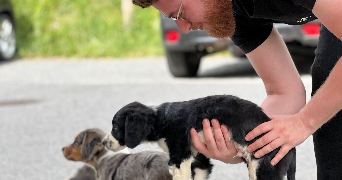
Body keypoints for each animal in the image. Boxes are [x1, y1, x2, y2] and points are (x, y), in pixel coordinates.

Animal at [103, 95, 296, 179]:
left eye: (115, 126)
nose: (104, 142)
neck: (161, 118)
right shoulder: (199, 160)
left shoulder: (180, 157)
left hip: (264, 167)